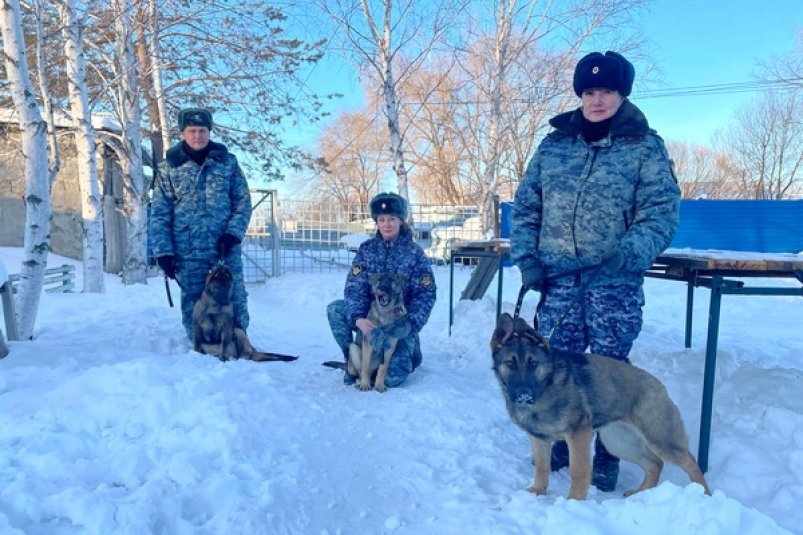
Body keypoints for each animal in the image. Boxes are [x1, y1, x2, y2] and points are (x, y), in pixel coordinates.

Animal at [490, 312, 708, 500]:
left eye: (533, 363)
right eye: (510, 363)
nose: (523, 395)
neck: (546, 386)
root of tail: (659, 384)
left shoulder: (578, 434)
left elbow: (579, 470)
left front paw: (574, 501)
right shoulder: (538, 438)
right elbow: (542, 466)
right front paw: (538, 490)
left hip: (660, 440)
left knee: (690, 463)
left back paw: (704, 494)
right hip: (618, 441)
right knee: (655, 464)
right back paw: (640, 494)